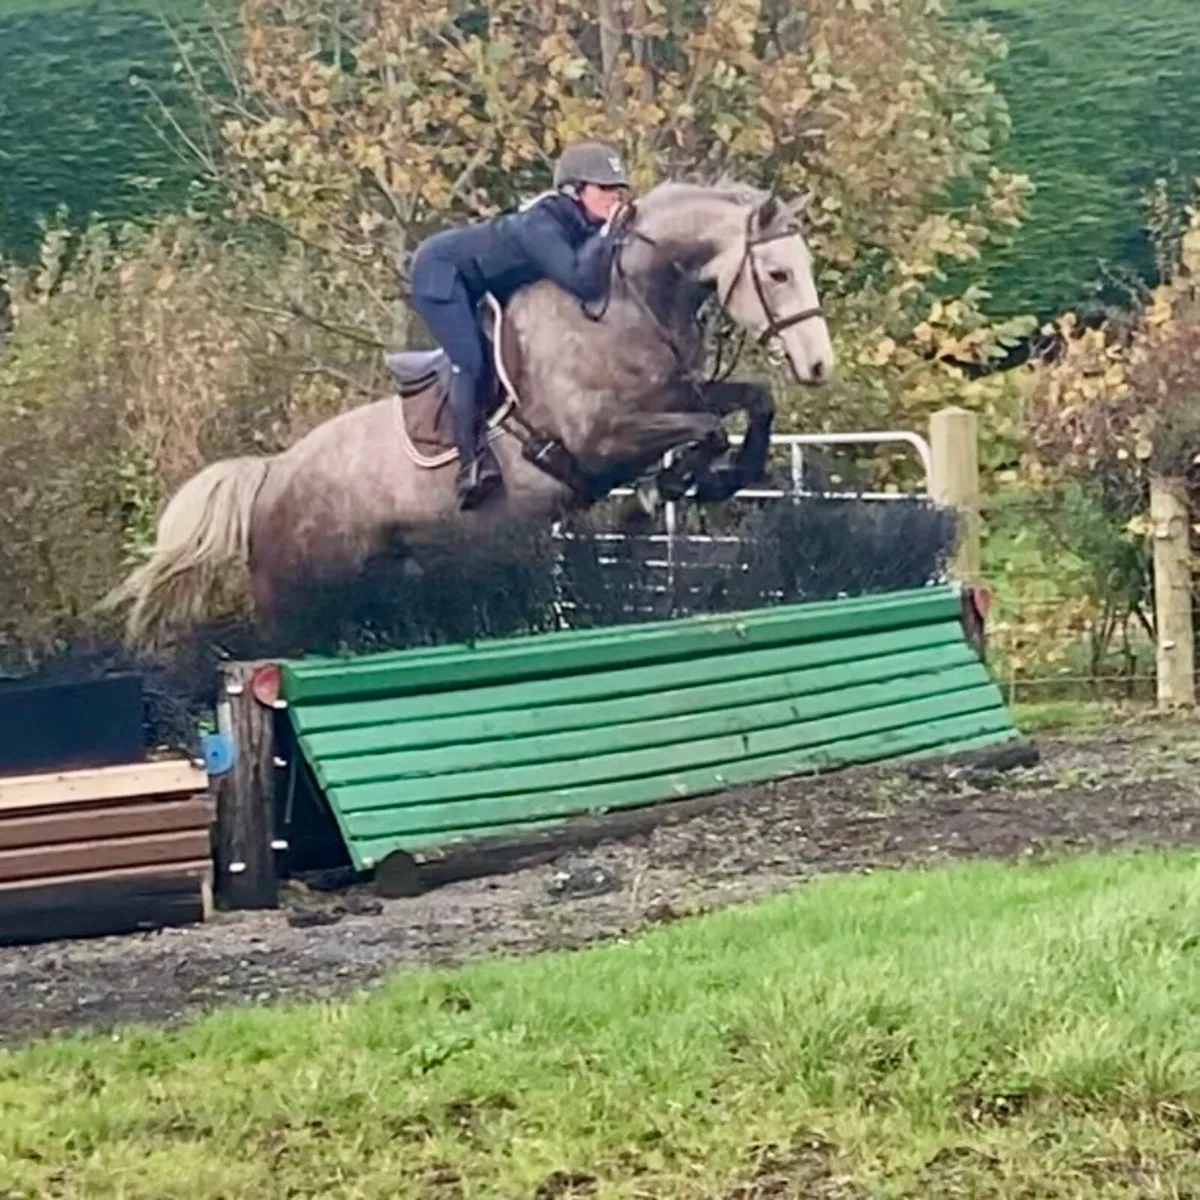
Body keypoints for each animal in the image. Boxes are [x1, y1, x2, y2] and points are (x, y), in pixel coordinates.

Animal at [101, 179, 834, 647]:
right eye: (777, 275)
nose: (819, 366)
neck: (624, 303)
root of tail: (272, 473)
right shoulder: (603, 439)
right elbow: (705, 432)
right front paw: (665, 492)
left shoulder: (677, 396)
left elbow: (750, 406)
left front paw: (714, 479)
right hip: (295, 600)